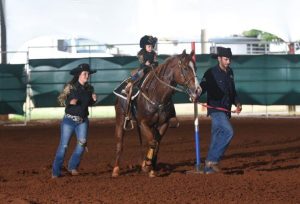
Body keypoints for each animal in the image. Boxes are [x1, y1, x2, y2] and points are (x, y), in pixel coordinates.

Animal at [111, 49, 200, 177]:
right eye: (185, 68)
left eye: (195, 68)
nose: (198, 90)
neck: (157, 94)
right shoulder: (143, 123)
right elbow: (152, 143)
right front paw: (147, 165)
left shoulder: (163, 124)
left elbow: (156, 144)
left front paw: (151, 168)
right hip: (120, 118)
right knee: (119, 143)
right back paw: (116, 170)